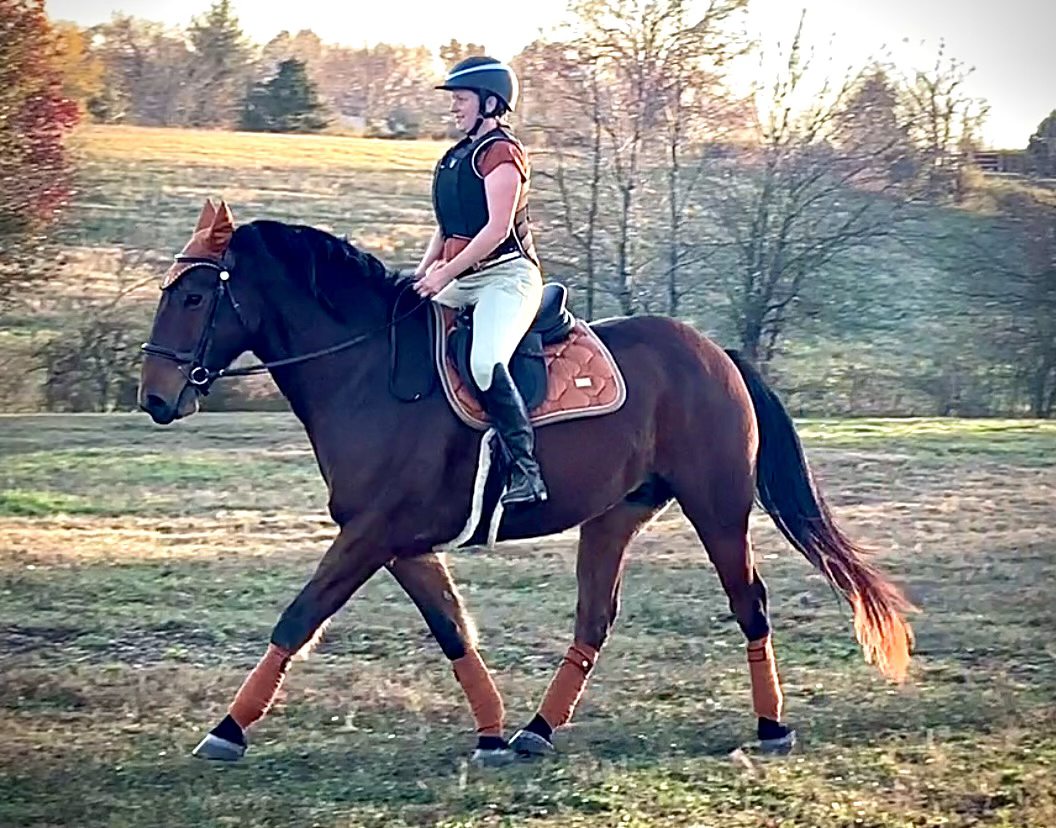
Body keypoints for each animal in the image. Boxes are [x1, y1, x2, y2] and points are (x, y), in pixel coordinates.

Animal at [138, 200, 913, 765]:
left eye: (196, 295)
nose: (154, 399)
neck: (366, 370)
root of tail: (713, 351)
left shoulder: (371, 534)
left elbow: (298, 618)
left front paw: (226, 731)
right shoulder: (399, 542)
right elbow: (452, 630)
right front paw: (490, 735)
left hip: (717, 509)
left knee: (749, 604)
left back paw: (771, 728)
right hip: (614, 515)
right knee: (594, 619)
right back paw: (537, 730)